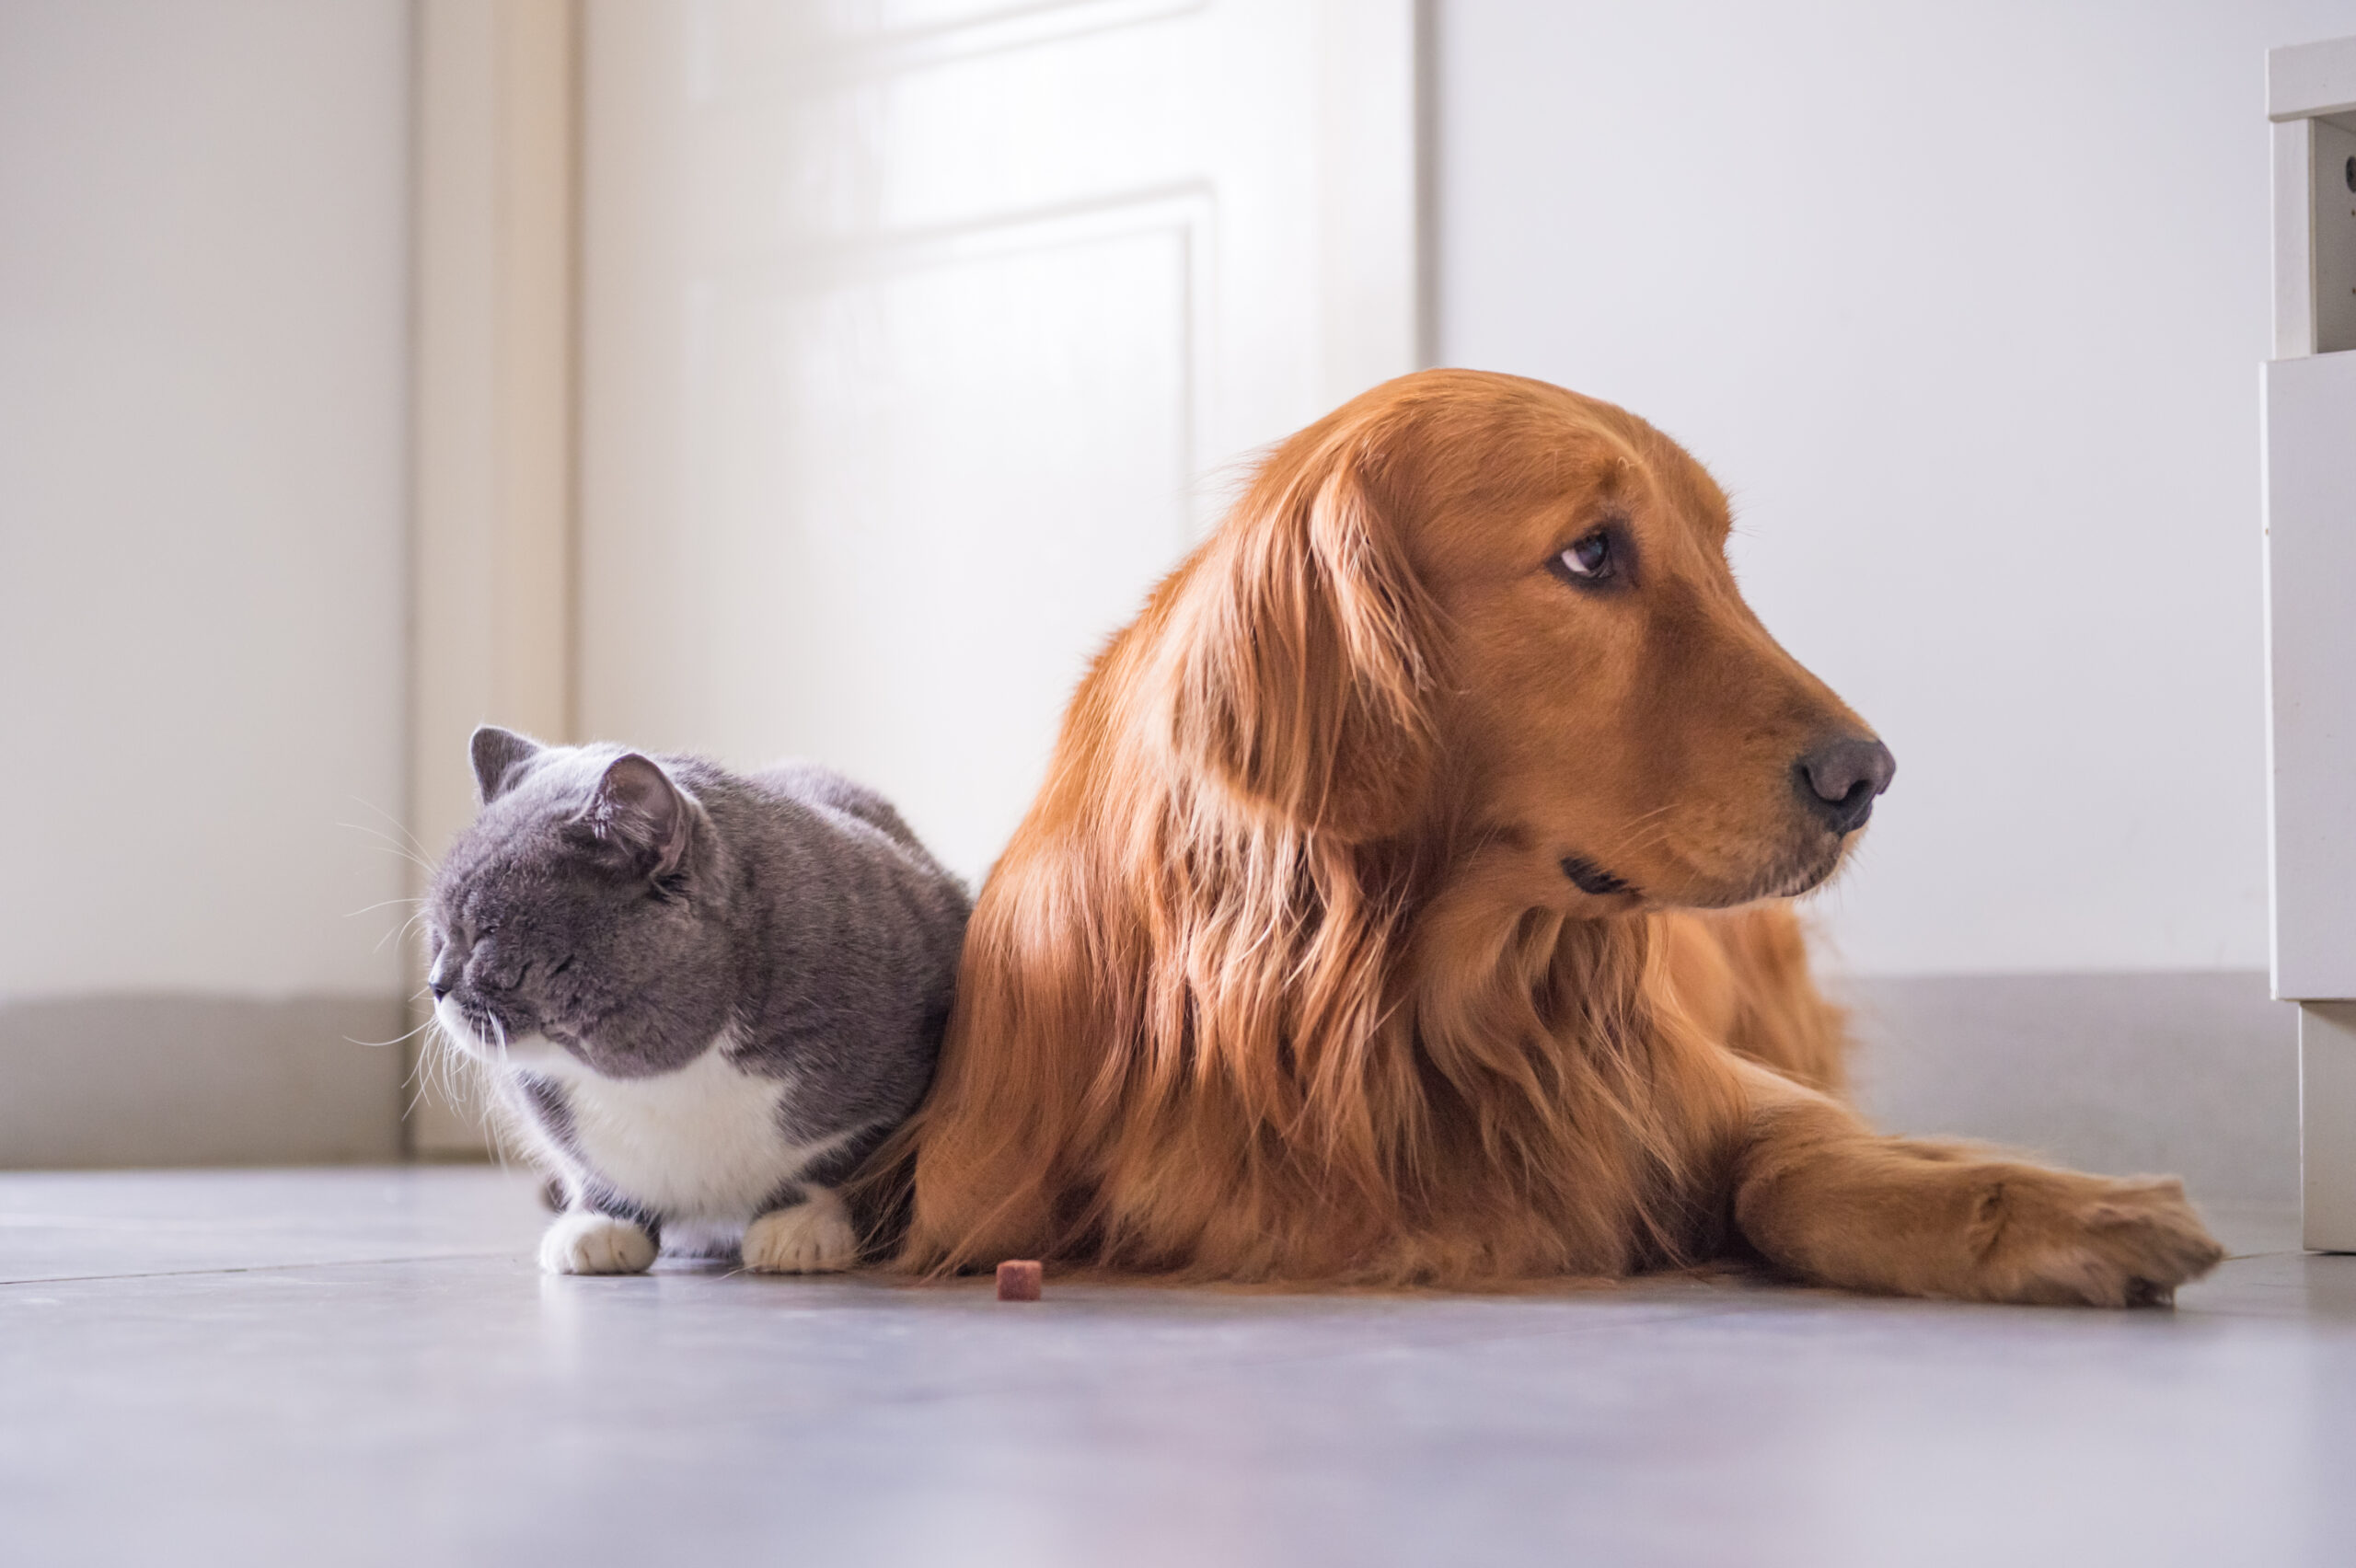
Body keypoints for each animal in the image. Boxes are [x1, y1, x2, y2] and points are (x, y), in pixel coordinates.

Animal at [423, 725, 965, 1280]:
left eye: (487, 933)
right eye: (438, 933)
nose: (435, 984)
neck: (666, 1081)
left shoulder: (889, 1095)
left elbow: (836, 1163)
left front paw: (799, 1228)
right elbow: (591, 1170)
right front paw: (599, 1225)